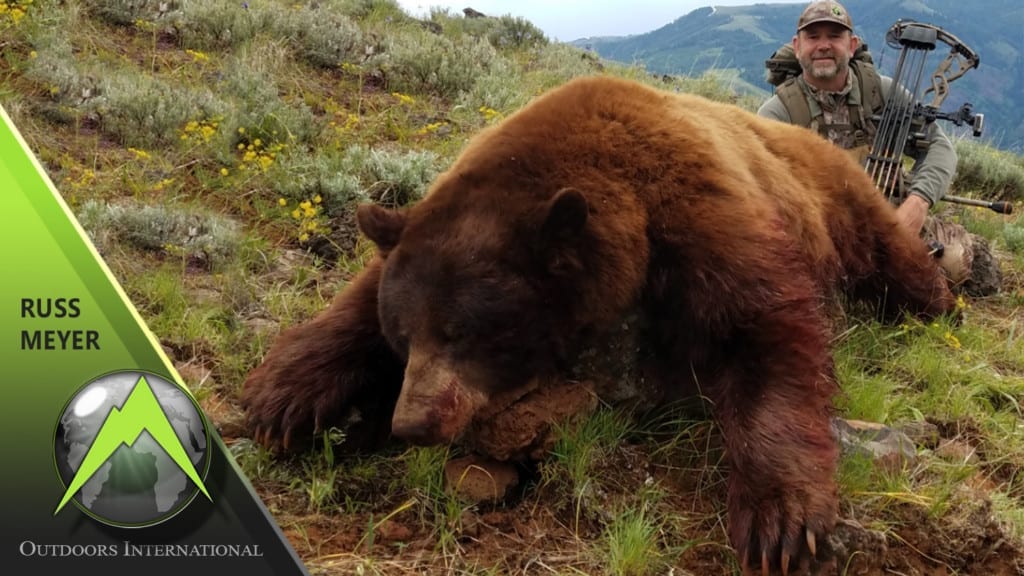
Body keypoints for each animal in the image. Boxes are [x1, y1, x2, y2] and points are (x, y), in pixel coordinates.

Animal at [241, 75, 956, 572]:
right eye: (404, 335)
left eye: (466, 334)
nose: (412, 422)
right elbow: (360, 294)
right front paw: (284, 397)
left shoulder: (702, 217)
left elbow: (768, 331)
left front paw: (781, 519)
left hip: (844, 204)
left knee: (894, 259)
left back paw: (939, 302)